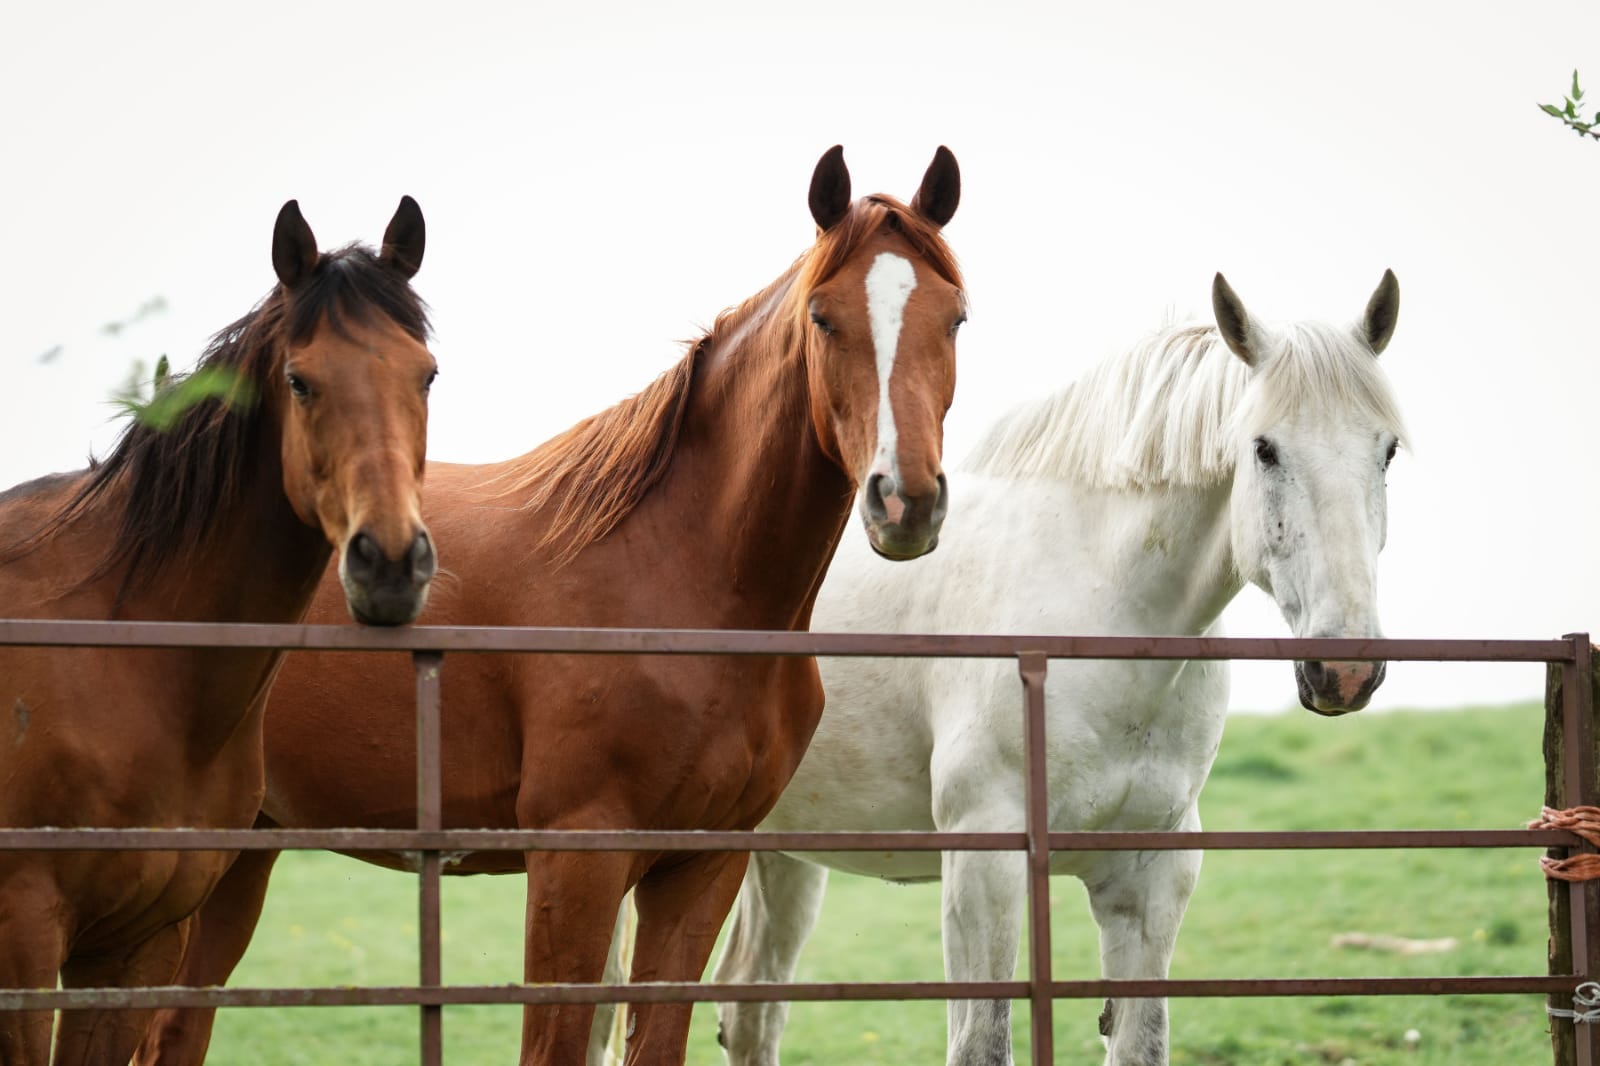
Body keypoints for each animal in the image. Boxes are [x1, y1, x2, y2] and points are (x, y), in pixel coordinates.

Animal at [134, 145, 967, 1066]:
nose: (906, 501)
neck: (676, 580)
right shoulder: (578, 860)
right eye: (823, 318)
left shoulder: (701, 868)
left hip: (244, 855)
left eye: (955, 319)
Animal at [711, 271, 1406, 1065]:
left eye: (1386, 451)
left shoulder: (1152, 879)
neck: (1098, 618)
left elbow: (1139, 1044)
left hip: (779, 854)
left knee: (751, 1005)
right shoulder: (984, 865)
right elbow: (982, 1045)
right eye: (1264, 449)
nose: (1344, 671)